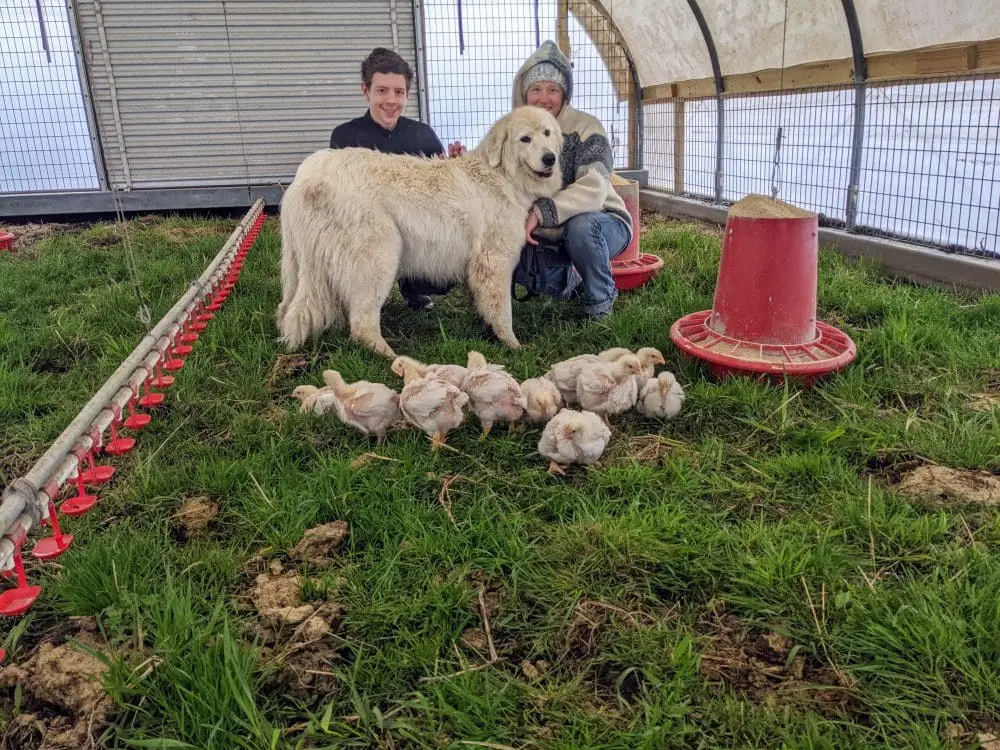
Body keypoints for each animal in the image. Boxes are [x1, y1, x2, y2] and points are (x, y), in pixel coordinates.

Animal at [278, 106, 568, 362]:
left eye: (547, 133)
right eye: (525, 139)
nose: (550, 158)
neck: (503, 176)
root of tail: (306, 179)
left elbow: (483, 304)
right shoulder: (494, 262)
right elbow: (503, 310)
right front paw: (513, 345)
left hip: (298, 267)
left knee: (289, 307)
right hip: (379, 257)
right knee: (361, 323)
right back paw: (391, 357)